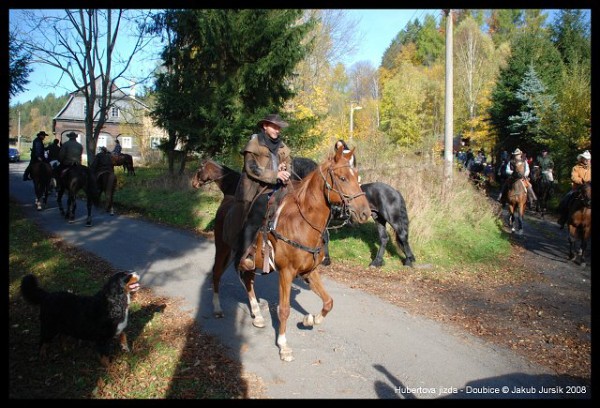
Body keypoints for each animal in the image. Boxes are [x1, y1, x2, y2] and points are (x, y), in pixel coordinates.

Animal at [211, 148, 370, 362]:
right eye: (343, 178)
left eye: (357, 178)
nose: (365, 213)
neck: (302, 223)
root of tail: (226, 200)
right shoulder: (286, 273)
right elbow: (284, 309)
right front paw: (283, 346)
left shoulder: (310, 271)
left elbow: (328, 302)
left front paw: (310, 319)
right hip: (223, 249)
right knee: (217, 275)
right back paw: (217, 308)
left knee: (248, 279)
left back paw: (257, 315)